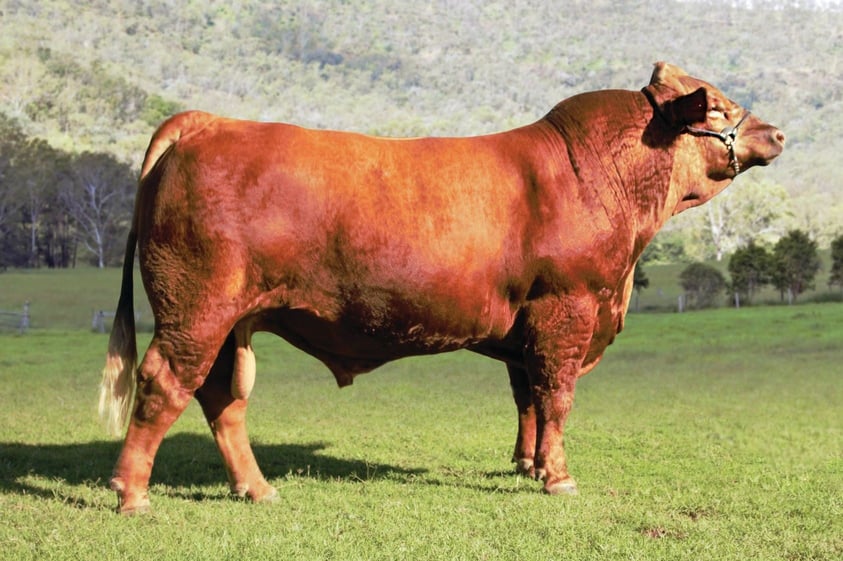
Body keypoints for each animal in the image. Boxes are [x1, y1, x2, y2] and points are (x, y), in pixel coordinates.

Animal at [99, 62, 784, 513]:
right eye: (717, 107)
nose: (777, 133)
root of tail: (205, 123)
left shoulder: (527, 329)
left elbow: (527, 398)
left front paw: (528, 465)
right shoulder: (567, 309)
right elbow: (556, 397)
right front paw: (558, 478)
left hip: (230, 321)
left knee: (222, 396)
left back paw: (257, 488)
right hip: (197, 309)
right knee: (165, 382)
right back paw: (132, 494)